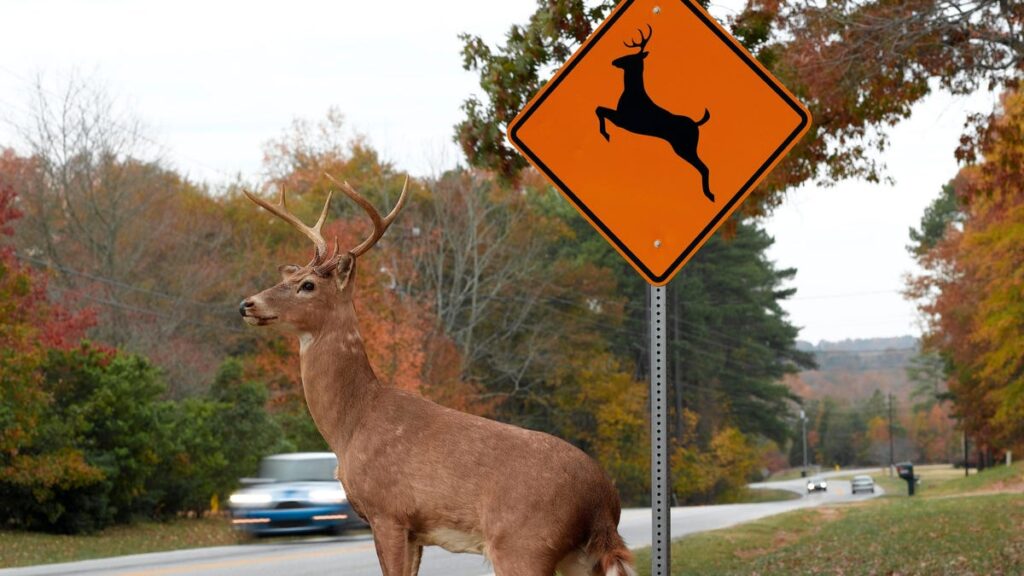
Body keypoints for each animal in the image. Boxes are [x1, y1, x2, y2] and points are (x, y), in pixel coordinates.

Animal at [240, 176, 634, 573]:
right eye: (293, 276)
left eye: (308, 285)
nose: (247, 304)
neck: (351, 424)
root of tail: (604, 500)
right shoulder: (416, 532)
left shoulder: (388, 511)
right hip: (577, 557)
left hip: (523, 543)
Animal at [593, 25, 712, 202]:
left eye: (630, 57)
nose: (614, 61)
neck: (632, 92)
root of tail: (696, 124)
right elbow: (599, 109)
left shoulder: (624, 120)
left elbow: (599, 109)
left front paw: (606, 134)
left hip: (685, 146)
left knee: (704, 167)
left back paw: (709, 195)